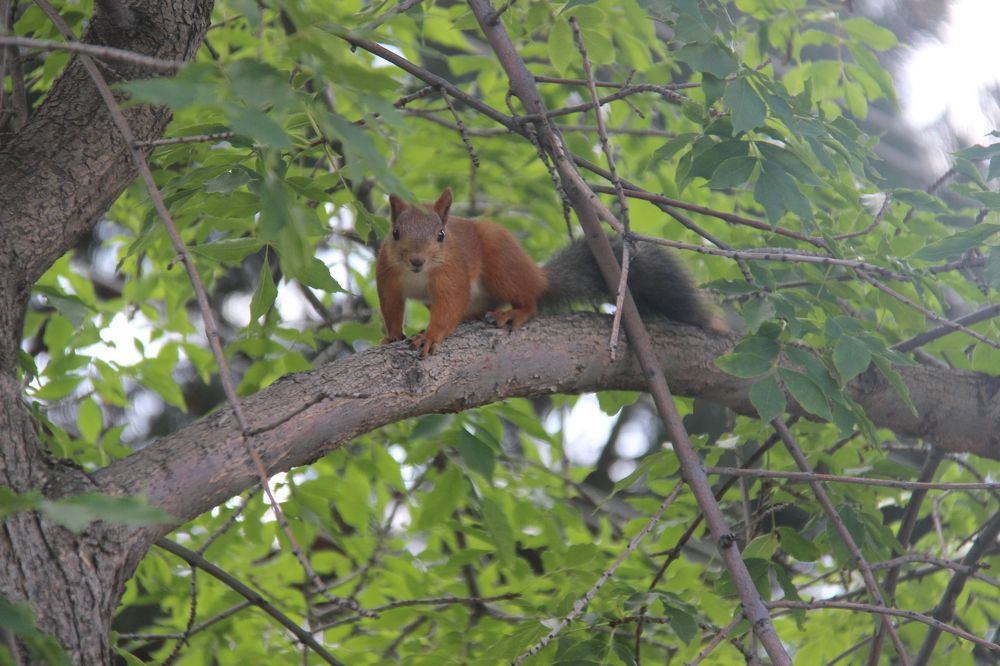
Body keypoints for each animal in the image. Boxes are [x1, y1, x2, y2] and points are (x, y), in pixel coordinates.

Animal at [376, 187, 719, 356]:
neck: (418, 276)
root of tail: (538, 276)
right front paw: (392, 335)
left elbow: (449, 304)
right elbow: (391, 307)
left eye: (441, 235)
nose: (417, 260)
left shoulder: (453, 274)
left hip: (502, 263)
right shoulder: (388, 276)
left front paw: (431, 336)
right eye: (395, 233)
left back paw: (513, 313)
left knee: (530, 301)